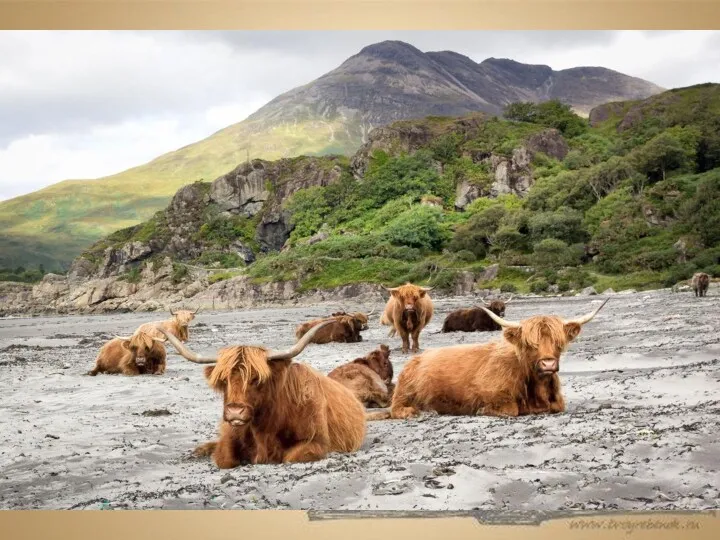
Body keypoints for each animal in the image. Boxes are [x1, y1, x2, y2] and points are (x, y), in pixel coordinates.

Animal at [368, 300, 612, 422]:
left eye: (559, 342)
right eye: (529, 343)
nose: (548, 364)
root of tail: (415, 359)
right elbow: (510, 409)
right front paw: (482, 411)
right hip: (405, 394)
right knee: (398, 409)